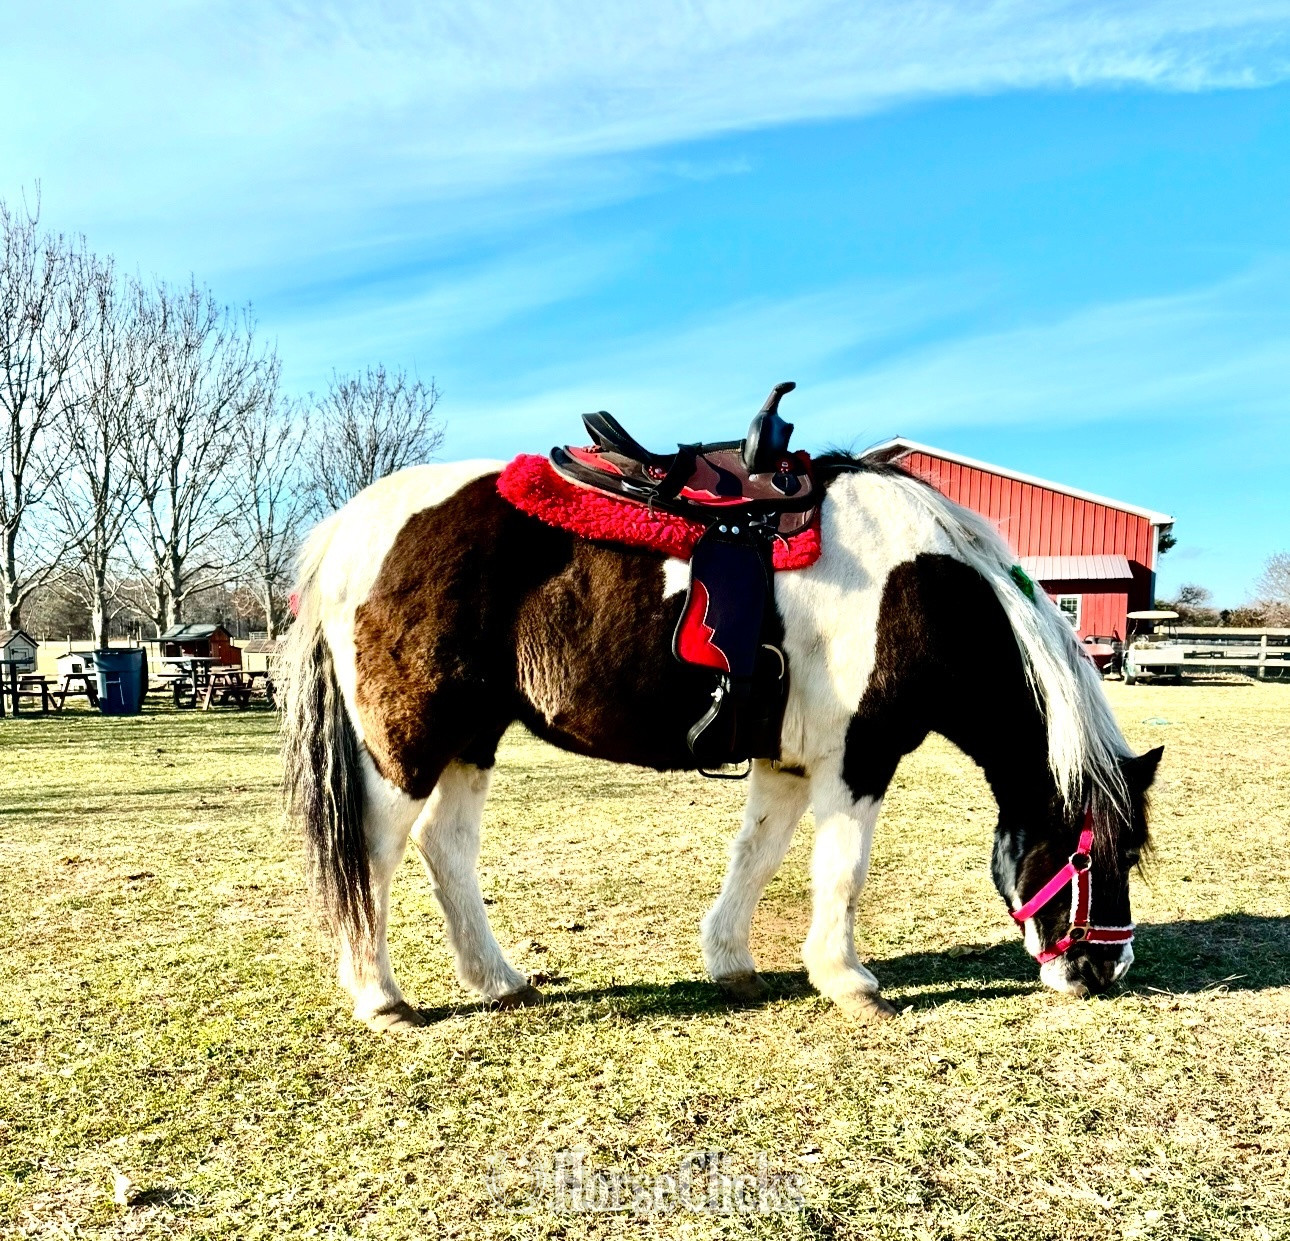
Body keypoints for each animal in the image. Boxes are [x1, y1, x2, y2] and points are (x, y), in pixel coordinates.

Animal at [280, 454, 1162, 1030]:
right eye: (1092, 853)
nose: (1104, 969)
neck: (924, 586)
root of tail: (349, 527)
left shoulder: (787, 762)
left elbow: (759, 854)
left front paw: (731, 960)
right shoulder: (859, 756)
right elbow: (843, 869)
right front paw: (848, 978)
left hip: (473, 734)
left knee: (447, 846)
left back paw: (498, 980)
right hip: (407, 741)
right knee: (377, 852)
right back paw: (381, 996)